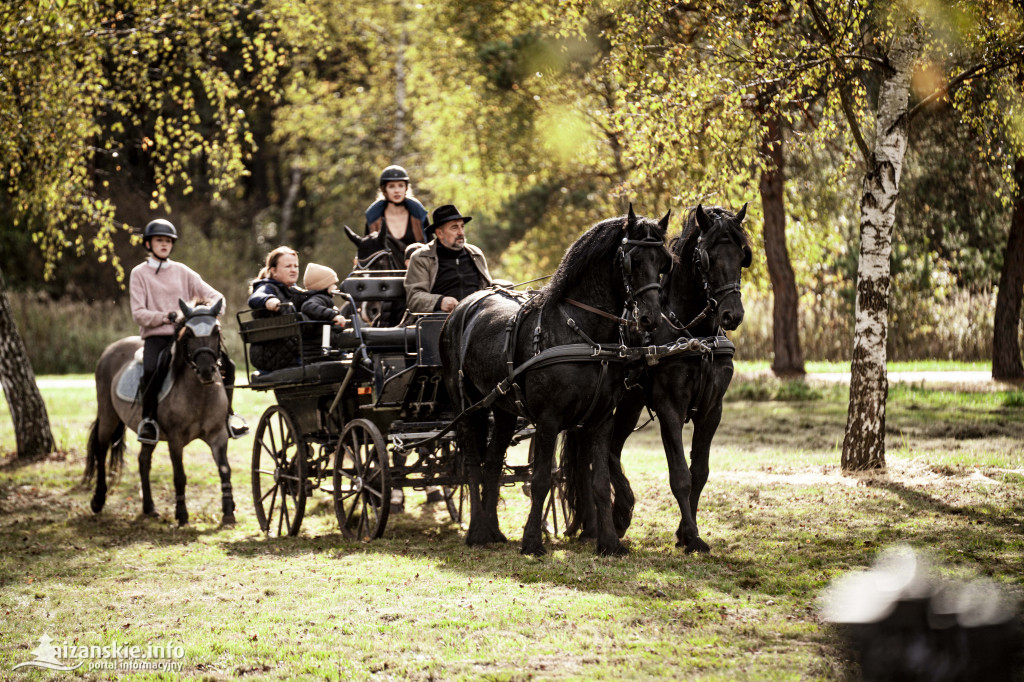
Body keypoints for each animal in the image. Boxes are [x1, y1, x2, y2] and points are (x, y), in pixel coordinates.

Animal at [84, 299, 235, 524]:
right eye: (189, 334)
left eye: (216, 331)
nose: (207, 370)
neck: (200, 394)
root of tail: (110, 349)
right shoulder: (175, 439)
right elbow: (179, 476)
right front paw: (181, 514)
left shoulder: (218, 435)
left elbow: (225, 470)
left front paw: (228, 512)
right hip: (108, 415)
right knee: (101, 450)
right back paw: (98, 500)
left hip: (147, 433)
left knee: (143, 461)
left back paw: (149, 508)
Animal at [438, 205, 671, 552]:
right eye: (633, 261)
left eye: (664, 262)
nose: (650, 319)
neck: (584, 334)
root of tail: (461, 308)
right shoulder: (548, 420)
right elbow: (540, 480)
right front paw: (533, 541)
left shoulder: (602, 419)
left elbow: (600, 481)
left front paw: (609, 543)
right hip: (468, 408)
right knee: (472, 466)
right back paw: (477, 531)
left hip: (503, 409)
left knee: (491, 464)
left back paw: (494, 531)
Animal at [561, 202, 753, 552]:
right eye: (706, 257)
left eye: (743, 254)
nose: (732, 315)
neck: (695, 335)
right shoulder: (669, 407)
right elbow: (680, 475)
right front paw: (692, 536)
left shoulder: (712, 410)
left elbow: (700, 472)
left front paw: (685, 532)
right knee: (602, 452)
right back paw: (613, 515)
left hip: (628, 404)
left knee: (606, 450)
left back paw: (608, 518)